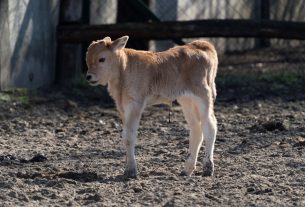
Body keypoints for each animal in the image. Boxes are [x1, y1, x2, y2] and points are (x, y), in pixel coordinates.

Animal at [85, 35, 217, 178]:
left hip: (202, 96)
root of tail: (199, 45)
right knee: (196, 129)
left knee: (209, 127)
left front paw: (131, 170)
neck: (124, 69)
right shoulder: (122, 106)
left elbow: (129, 137)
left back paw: (208, 168)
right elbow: (125, 135)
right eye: (87, 59)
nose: (88, 76)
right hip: (187, 100)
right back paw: (187, 169)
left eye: (101, 59)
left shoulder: (135, 104)